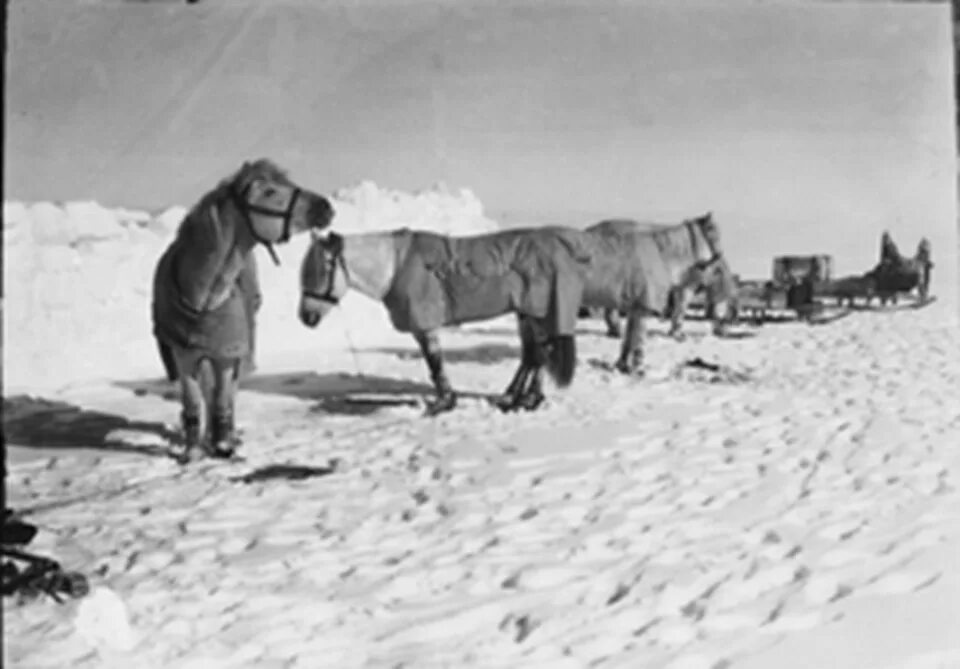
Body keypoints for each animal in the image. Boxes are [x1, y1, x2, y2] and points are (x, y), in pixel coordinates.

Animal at [148, 157, 332, 462]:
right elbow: (194, 400)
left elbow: (223, 397)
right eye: (269, 191)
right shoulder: (183, 356)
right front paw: (193, 450)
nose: (325, 206)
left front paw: (223, 444)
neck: (203, 298)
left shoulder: (227, 353)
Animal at [298, 227, 592, 414]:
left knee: (540, 355)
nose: (306, 317)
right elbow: (433, 362)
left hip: (535, 313)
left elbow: (434, 362)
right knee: (532, 355)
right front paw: (446, 400)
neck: (395, 266)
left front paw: (443, 403)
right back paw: (513, 396)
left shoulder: (424, 324)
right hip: (527, 314)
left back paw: (528, 399)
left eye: (320, 271)